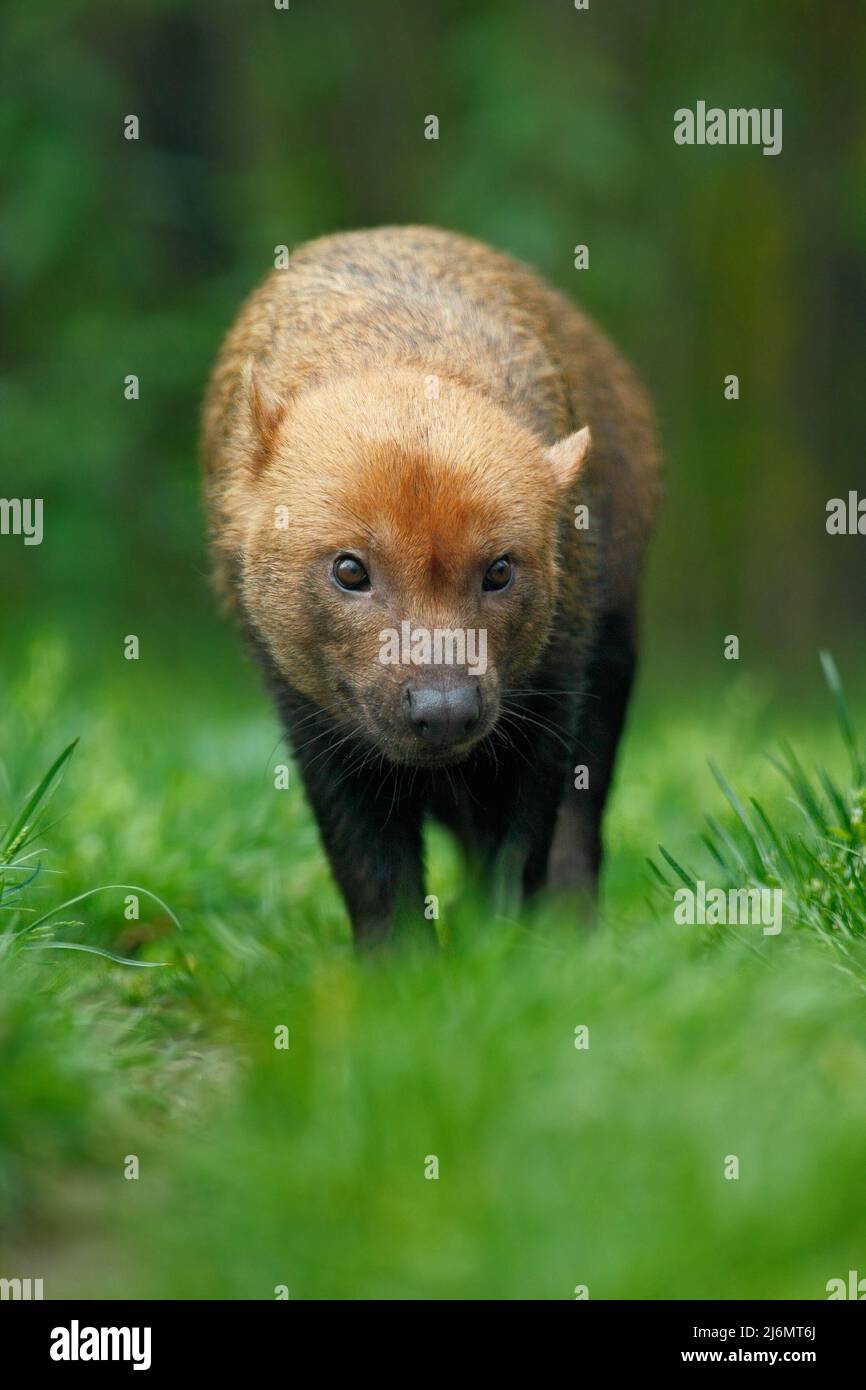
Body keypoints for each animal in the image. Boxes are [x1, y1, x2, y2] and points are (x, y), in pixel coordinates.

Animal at [204, 227, 664, 939]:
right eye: (350, 569)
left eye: (499, 569)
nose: (443, 709)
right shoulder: (312, 720)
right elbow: (373, 876)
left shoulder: (551, 697)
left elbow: (518, 857)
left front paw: (506, 951)